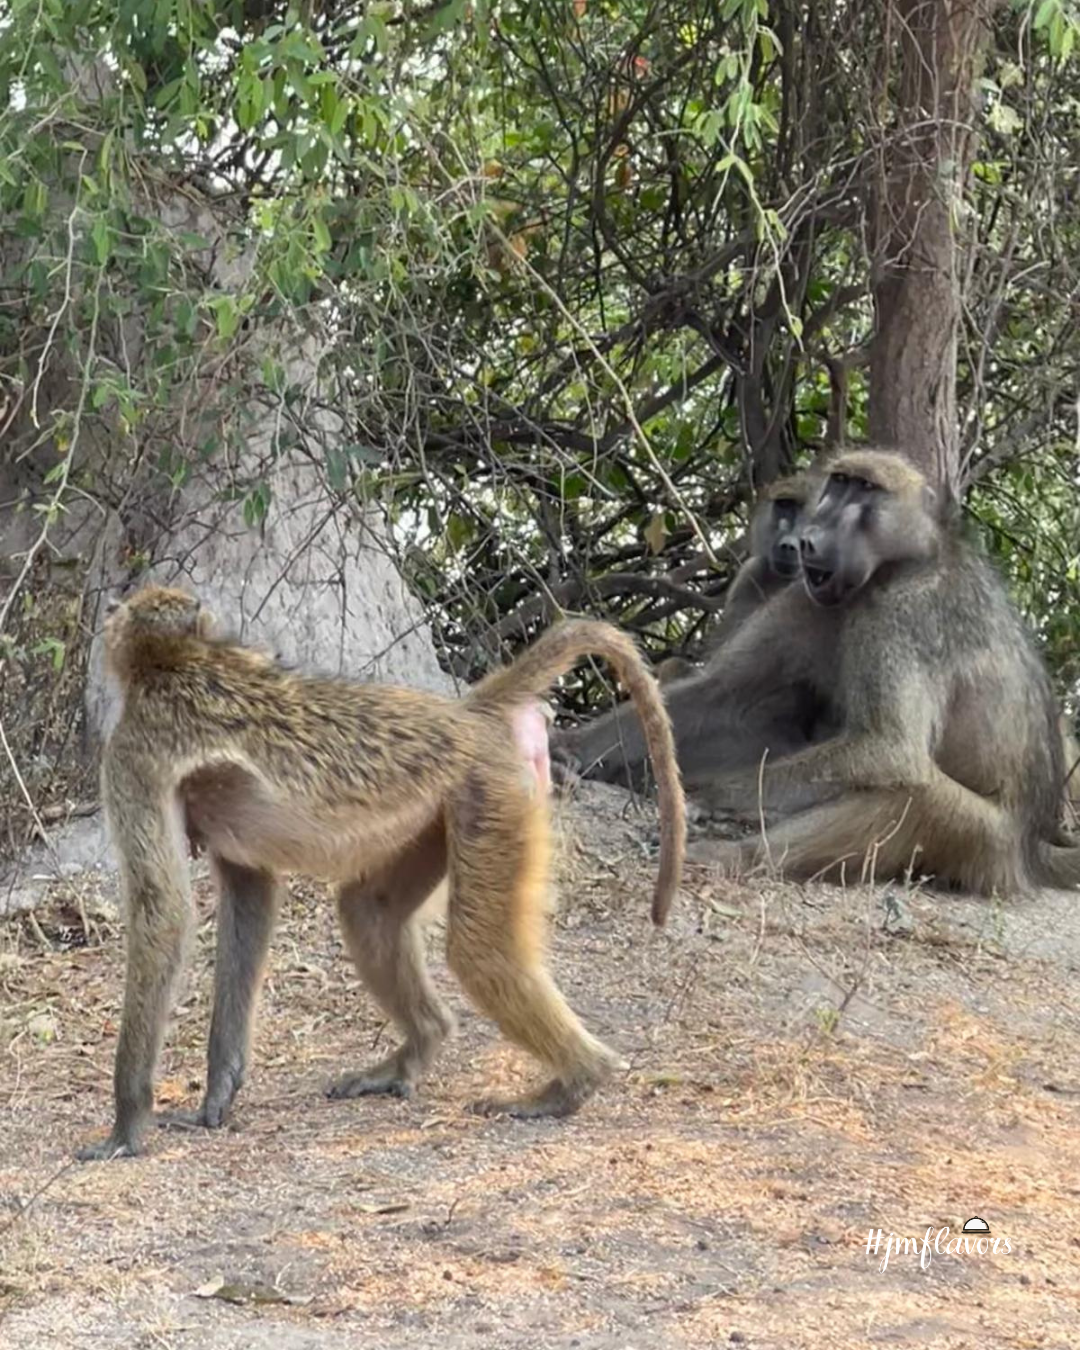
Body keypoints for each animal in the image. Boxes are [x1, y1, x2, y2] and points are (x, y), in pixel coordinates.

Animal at [75, 587, 685, 1161]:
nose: (106, 614)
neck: (176, 661)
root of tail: (467, 714)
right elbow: (250, 894)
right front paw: (216, 1096)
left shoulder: (129, 756)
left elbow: (162, 913)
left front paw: (126, 1128)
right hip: (441, 814)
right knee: (368, 912)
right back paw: (415, 1052)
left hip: (489, 795)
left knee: (478, 953)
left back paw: (574, 1082)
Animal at [687, 448, 1080, 895]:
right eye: (837, 483)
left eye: (864, 488)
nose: (806, 541)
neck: (910, 559)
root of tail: (1033, 850)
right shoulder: (810, 597)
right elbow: (718, 692)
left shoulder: (904, 615)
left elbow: (890, 747)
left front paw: (714, 794)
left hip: (988, 842)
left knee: (913, 793)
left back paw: (739, 855)